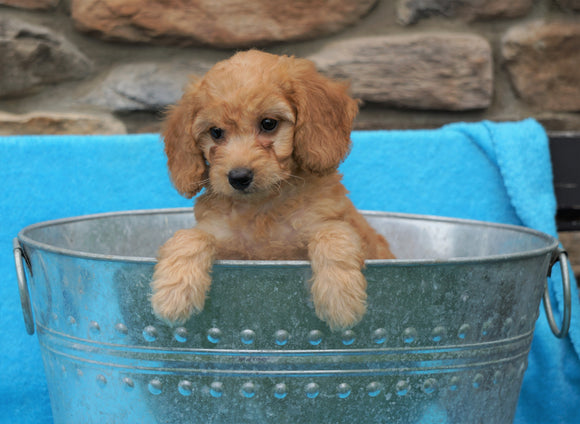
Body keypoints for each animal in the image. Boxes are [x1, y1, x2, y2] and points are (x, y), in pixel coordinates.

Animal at [150, 48, 394, 328]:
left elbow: (334, 234)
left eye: (268, 123)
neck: (262, 206)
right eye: (215, 132)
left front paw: (340, 297)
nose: (238, 177)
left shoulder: (333, 224)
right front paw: (173, 293)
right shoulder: (219, 234)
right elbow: (189, 237)